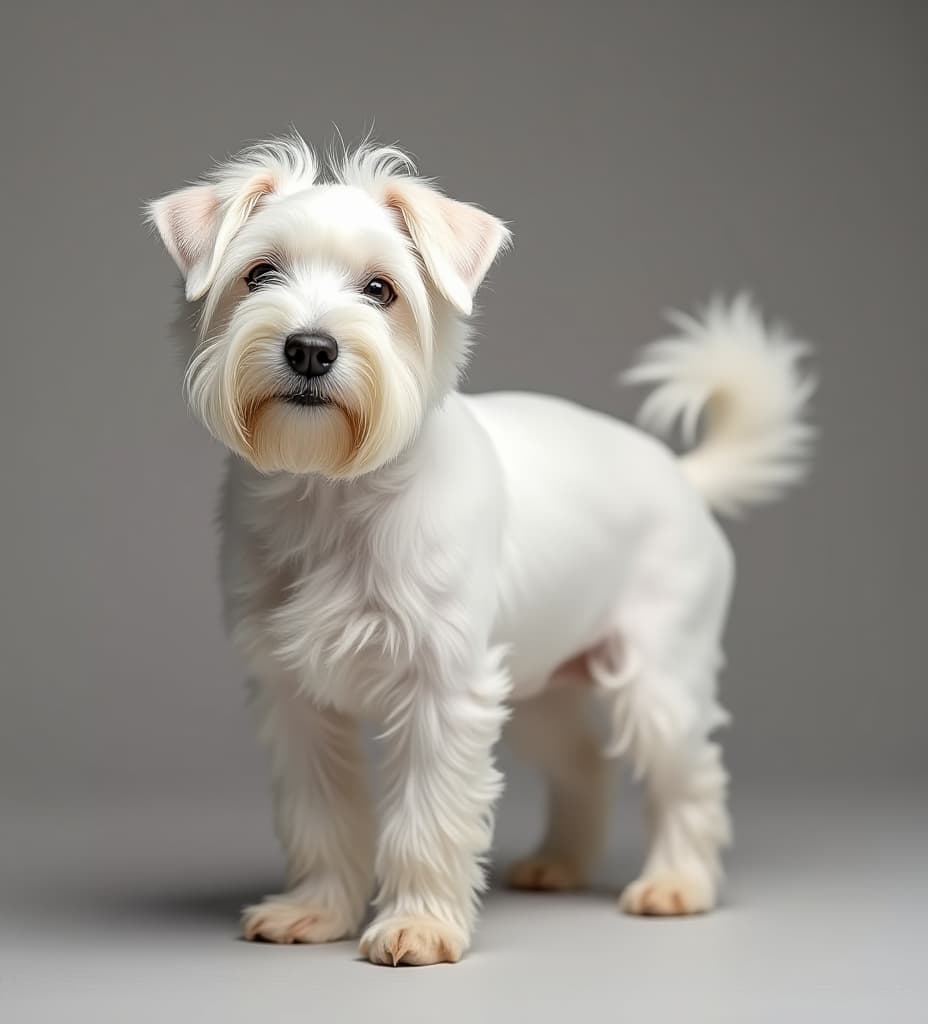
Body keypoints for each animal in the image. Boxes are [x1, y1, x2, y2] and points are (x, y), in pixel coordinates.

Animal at [144, 136, 811, 966]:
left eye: (381, 289)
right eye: (259, 273)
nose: (310, 348)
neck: (334, 495)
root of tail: (680, 475)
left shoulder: (443, 691)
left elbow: (428, 817)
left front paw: (418, 927)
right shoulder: (294, 699)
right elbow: (321, 814)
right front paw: (316, 910)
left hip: (657, 681)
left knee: (691, 779)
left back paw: (676, 884)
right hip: (540, 689)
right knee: (584, 764)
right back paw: (560, 862)